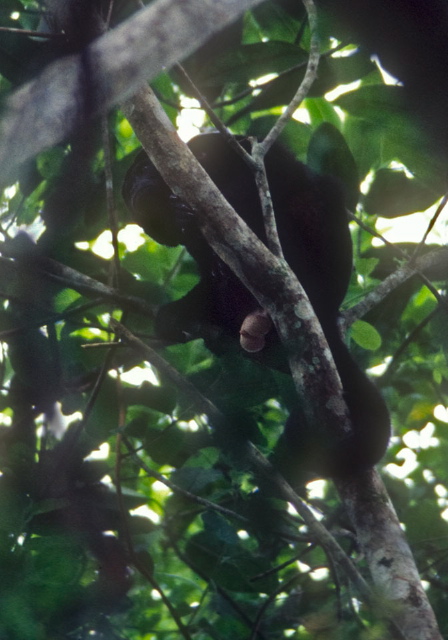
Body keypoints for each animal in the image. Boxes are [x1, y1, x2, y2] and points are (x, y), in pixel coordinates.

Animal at [121, 132, 388, 478]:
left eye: (143, 170)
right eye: (127, 189)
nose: (135, 190)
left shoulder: (214, 150)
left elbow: (266, 170)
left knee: (308, 197)